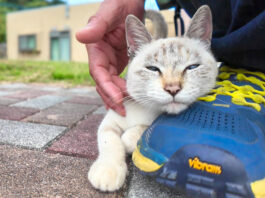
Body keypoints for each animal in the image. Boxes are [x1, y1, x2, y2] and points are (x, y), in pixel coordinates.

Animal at [87, 5, 218, 191]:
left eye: (192, 67)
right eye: (153, 69)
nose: (173, 88)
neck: (146, 110)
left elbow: (139, 130)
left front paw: (129, 139)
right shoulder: (112, 119)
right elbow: (109, 140)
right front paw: (108, 170)